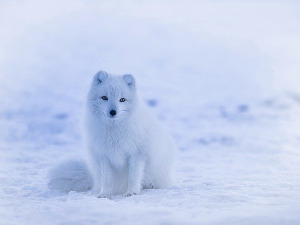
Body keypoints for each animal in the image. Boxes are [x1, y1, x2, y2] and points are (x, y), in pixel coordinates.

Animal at [48, 71, 177, 198]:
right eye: (104, 97)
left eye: (122, 99)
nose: (113, 112)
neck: (114, 131)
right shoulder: (104, 155)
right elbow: (107, 179)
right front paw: (104, 194)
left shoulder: (137, 154)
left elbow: (133, 177)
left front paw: (132, 192)